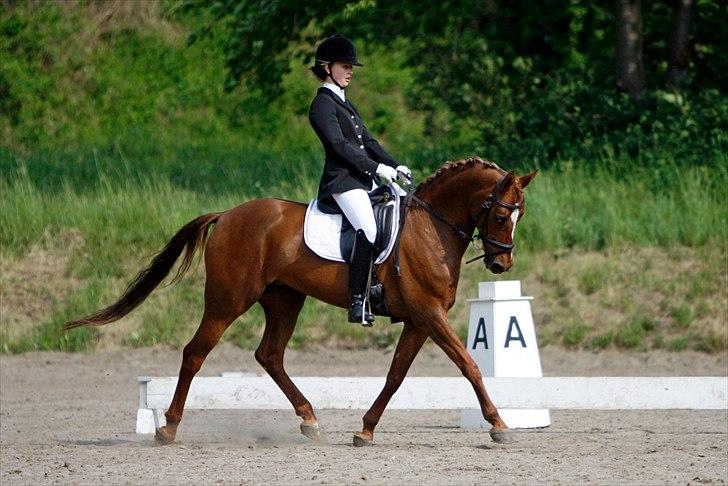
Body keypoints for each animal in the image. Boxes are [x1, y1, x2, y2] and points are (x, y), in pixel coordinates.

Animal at [65, 158, 536, 446]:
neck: (430, 229)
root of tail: (227, 214)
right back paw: (168, 428)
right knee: (195, 352)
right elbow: (469, 365)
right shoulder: (429, 315)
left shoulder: (419, 321)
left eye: (520, 215)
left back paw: (309, 419)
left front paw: (365, 430)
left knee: (269, 355)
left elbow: (396, 377)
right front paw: (498, 425)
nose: (501, 263)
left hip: (284, 301)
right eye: (500, 214)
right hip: (228, 301)